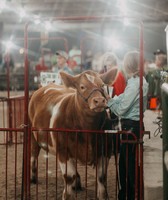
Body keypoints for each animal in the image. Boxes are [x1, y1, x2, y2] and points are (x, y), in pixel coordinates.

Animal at [28, 68, 118, 199]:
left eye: (102, 85)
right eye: (82, 87)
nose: (100, 101)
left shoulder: (105, 151)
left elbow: (101, 178)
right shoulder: (62, 151)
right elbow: (69, 177)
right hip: (33, 134)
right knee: (34, 154)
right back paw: (33, 178)